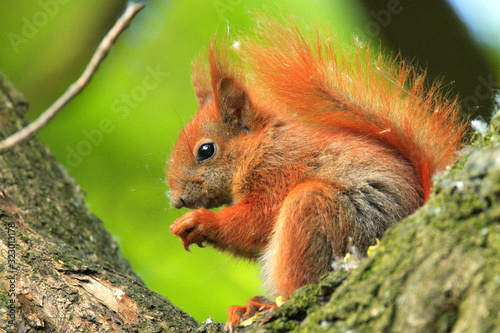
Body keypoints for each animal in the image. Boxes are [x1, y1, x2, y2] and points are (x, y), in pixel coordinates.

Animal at [167, 16, 464, 330]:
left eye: (206, 150)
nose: (176, 200)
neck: (261, 145)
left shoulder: (278, 171)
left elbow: (256, 220)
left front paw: (198, 220)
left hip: (321, 214)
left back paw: (264, 306)